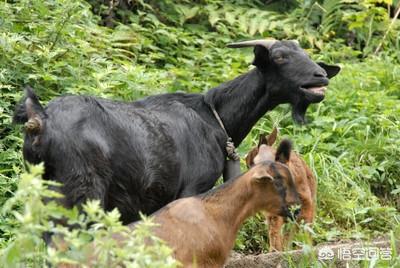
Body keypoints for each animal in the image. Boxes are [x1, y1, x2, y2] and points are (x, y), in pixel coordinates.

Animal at [13, 39, 340, 224]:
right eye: (280, 57)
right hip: (81, 192)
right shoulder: (192, 189)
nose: (321, 75)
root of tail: (40, 120)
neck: (216, 116)